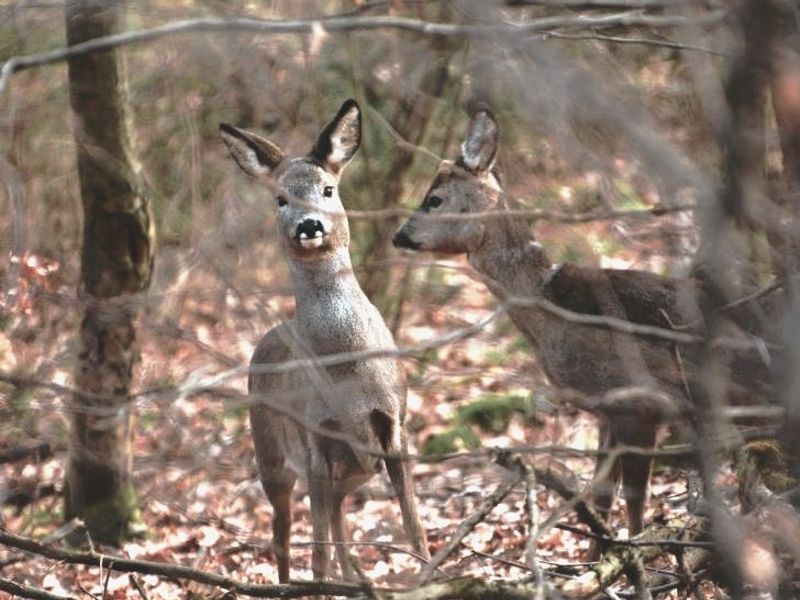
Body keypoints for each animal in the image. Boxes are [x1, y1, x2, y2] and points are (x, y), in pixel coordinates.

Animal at [219, 99, 432, 580]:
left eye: (328, 189)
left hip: (353, 469)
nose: (309, 225)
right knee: (283, 536)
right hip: (270, 453)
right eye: (281, 198)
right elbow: (315, 555)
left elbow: (414, 528)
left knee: (337, 522)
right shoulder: (314, 438)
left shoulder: (395, 424)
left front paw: (438, 571)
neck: (348, 369)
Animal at [394, 106, 780, 544]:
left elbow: (635, 499)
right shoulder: (604, 412)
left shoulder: (641, 404)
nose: (398, 236)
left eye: (434, 199)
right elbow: (601, 496)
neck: (550, 311)